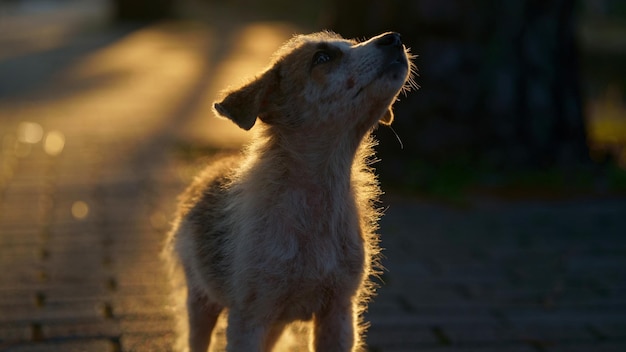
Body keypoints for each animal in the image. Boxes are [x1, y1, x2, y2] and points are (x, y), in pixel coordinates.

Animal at [167, 31, 414, 352]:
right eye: (322, 57)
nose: (393, 38)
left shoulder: (338, 313)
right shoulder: (250, 317)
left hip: (276, 323)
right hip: (201, 299)